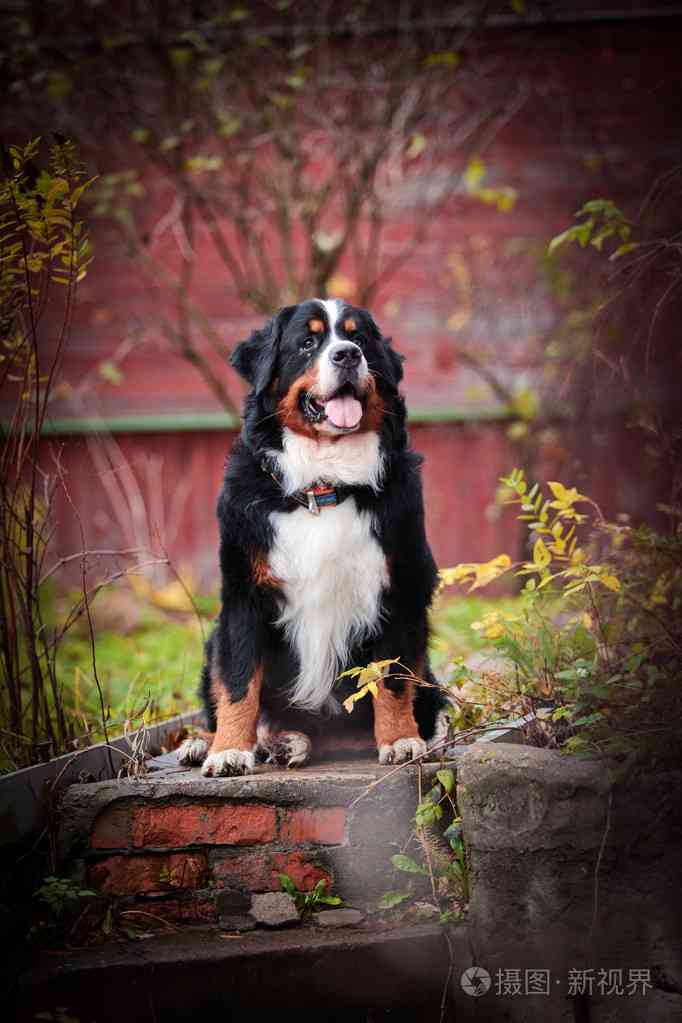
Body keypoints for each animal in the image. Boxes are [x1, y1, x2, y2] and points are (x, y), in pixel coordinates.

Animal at [178, 296, 449, 773]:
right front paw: (228, 750)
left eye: (360, 339)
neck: (323, 486)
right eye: (308, 342)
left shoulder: (398, 589)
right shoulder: (245, 595)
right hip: (214, 640)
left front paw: (400, 740)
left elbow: (393, 680)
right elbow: (238, 682)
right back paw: (220, 743)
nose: (347, 355)